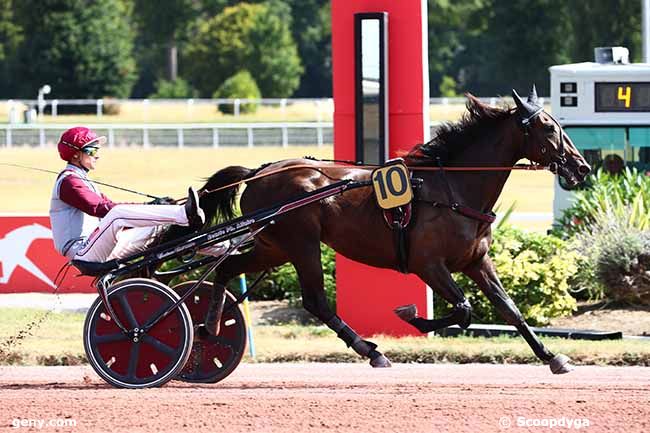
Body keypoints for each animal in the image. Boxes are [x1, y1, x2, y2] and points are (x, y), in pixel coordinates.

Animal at [192, 89, 588, 372]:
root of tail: (259, 172)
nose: (582, 167)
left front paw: (551, 356)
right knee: (316, 301)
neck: (452, 189)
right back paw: (370, 350)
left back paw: (208, 326)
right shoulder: (428, 264)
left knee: (228, 269)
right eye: (549, 127)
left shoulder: (477, 261)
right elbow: (463, 309)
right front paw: (412, 317)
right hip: (301, 243)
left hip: (274, 247)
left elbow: (509, 309)